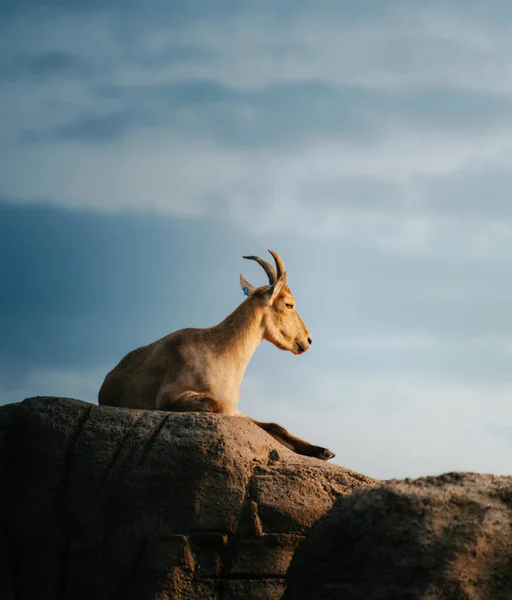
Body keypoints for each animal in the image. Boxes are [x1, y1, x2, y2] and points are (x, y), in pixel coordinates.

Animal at [98, 248, 334, 460]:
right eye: (289, 304)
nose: (307, 340)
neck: (219, 352)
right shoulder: (170, 396)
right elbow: (216, 405)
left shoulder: (237, 409)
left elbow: (275, 426)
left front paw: (323, 451)